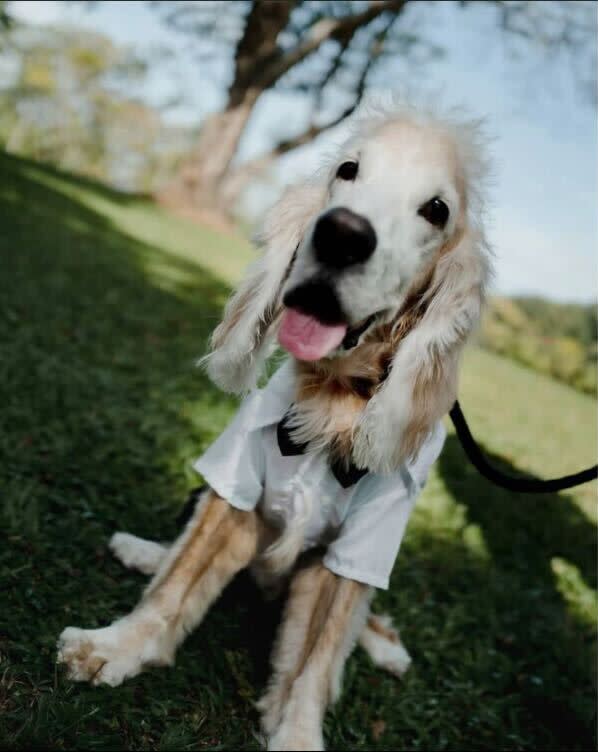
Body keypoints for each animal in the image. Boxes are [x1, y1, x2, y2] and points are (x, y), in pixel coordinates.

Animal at [58, 101, 494, 752]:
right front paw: (112, 646)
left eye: (436, 209)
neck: (333, 396)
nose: (342, 234)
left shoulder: (356, 551)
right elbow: (177, 583)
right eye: (348, 170)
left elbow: (314, 661)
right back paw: (143, 552)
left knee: (363, 620)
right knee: (176, 551)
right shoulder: (232, 488)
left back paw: (386, 647)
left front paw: (296, 734)